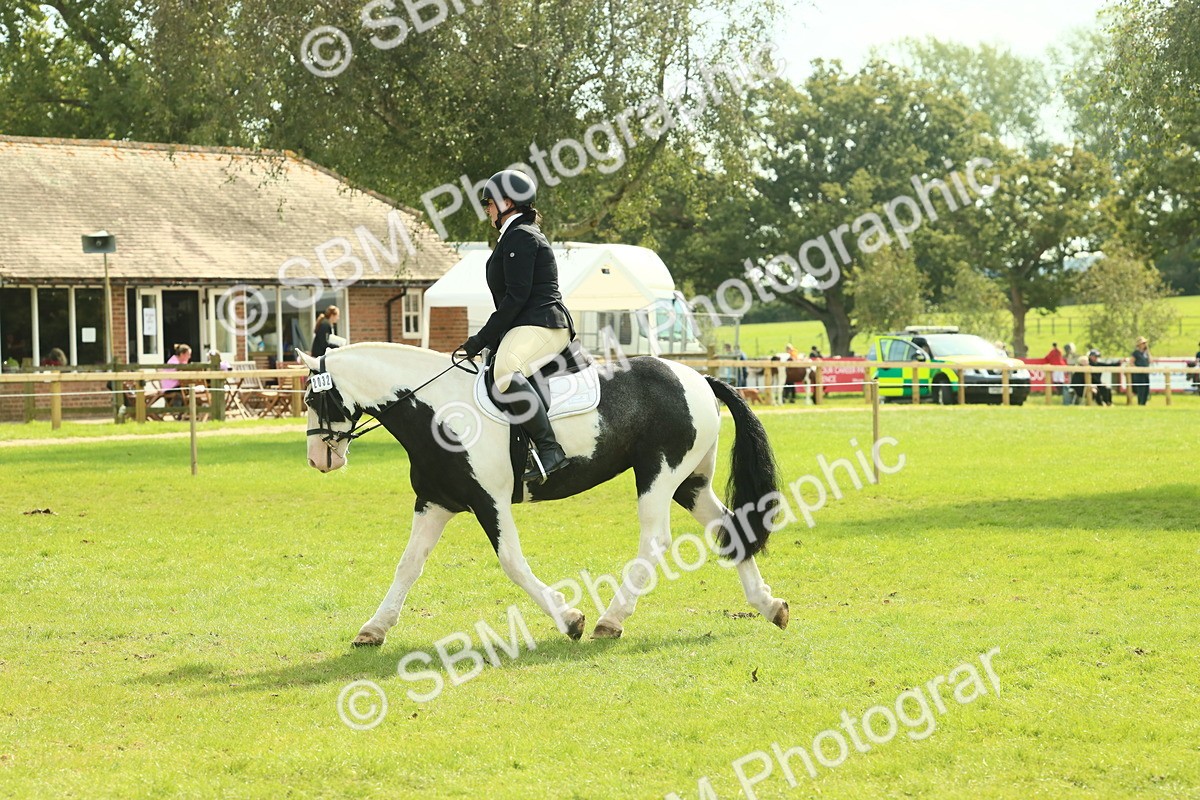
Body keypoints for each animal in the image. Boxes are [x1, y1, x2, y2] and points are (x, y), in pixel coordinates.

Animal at [296, 342, 789, 646]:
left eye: (312, 399)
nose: (318, 459)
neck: (438, 412)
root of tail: (701, 378)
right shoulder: (436, 502)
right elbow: (408, 565)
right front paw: (374, 629)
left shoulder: (488, 501)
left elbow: (513, 563)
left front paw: (570, 620)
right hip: (690, 483)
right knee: (731, 529)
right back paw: (769, 606)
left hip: (658, 474)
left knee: (655, 540)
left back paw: (610, 620)